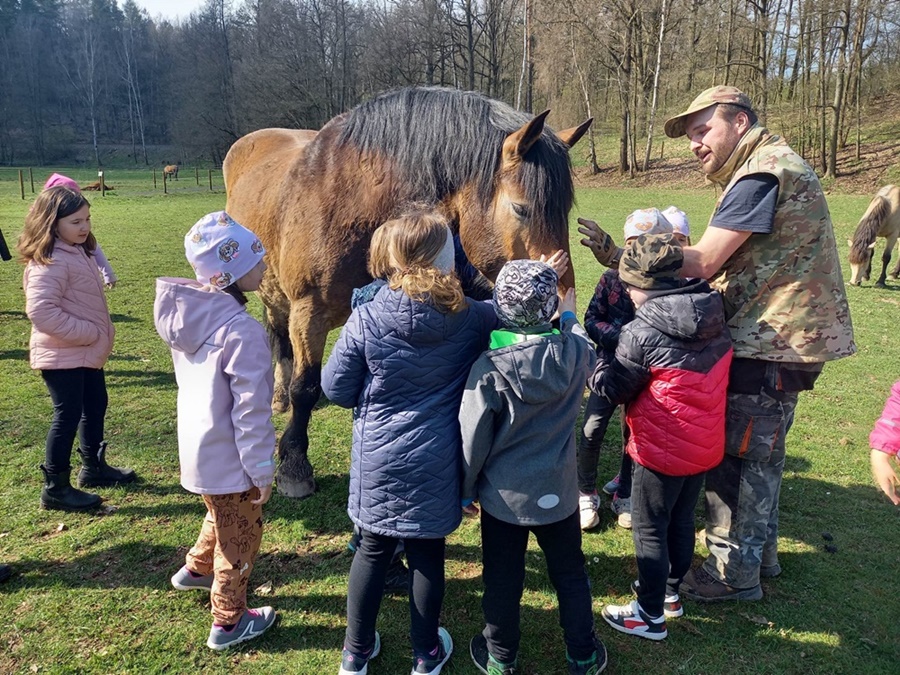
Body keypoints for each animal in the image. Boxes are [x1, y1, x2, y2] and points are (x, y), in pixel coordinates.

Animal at [223, 86, 592, 496]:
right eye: (520, 208)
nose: (559, 309)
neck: (352, 203)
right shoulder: (308, 313)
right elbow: (305, 387)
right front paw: (294, 465)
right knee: (278, 335)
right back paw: (278, 397)